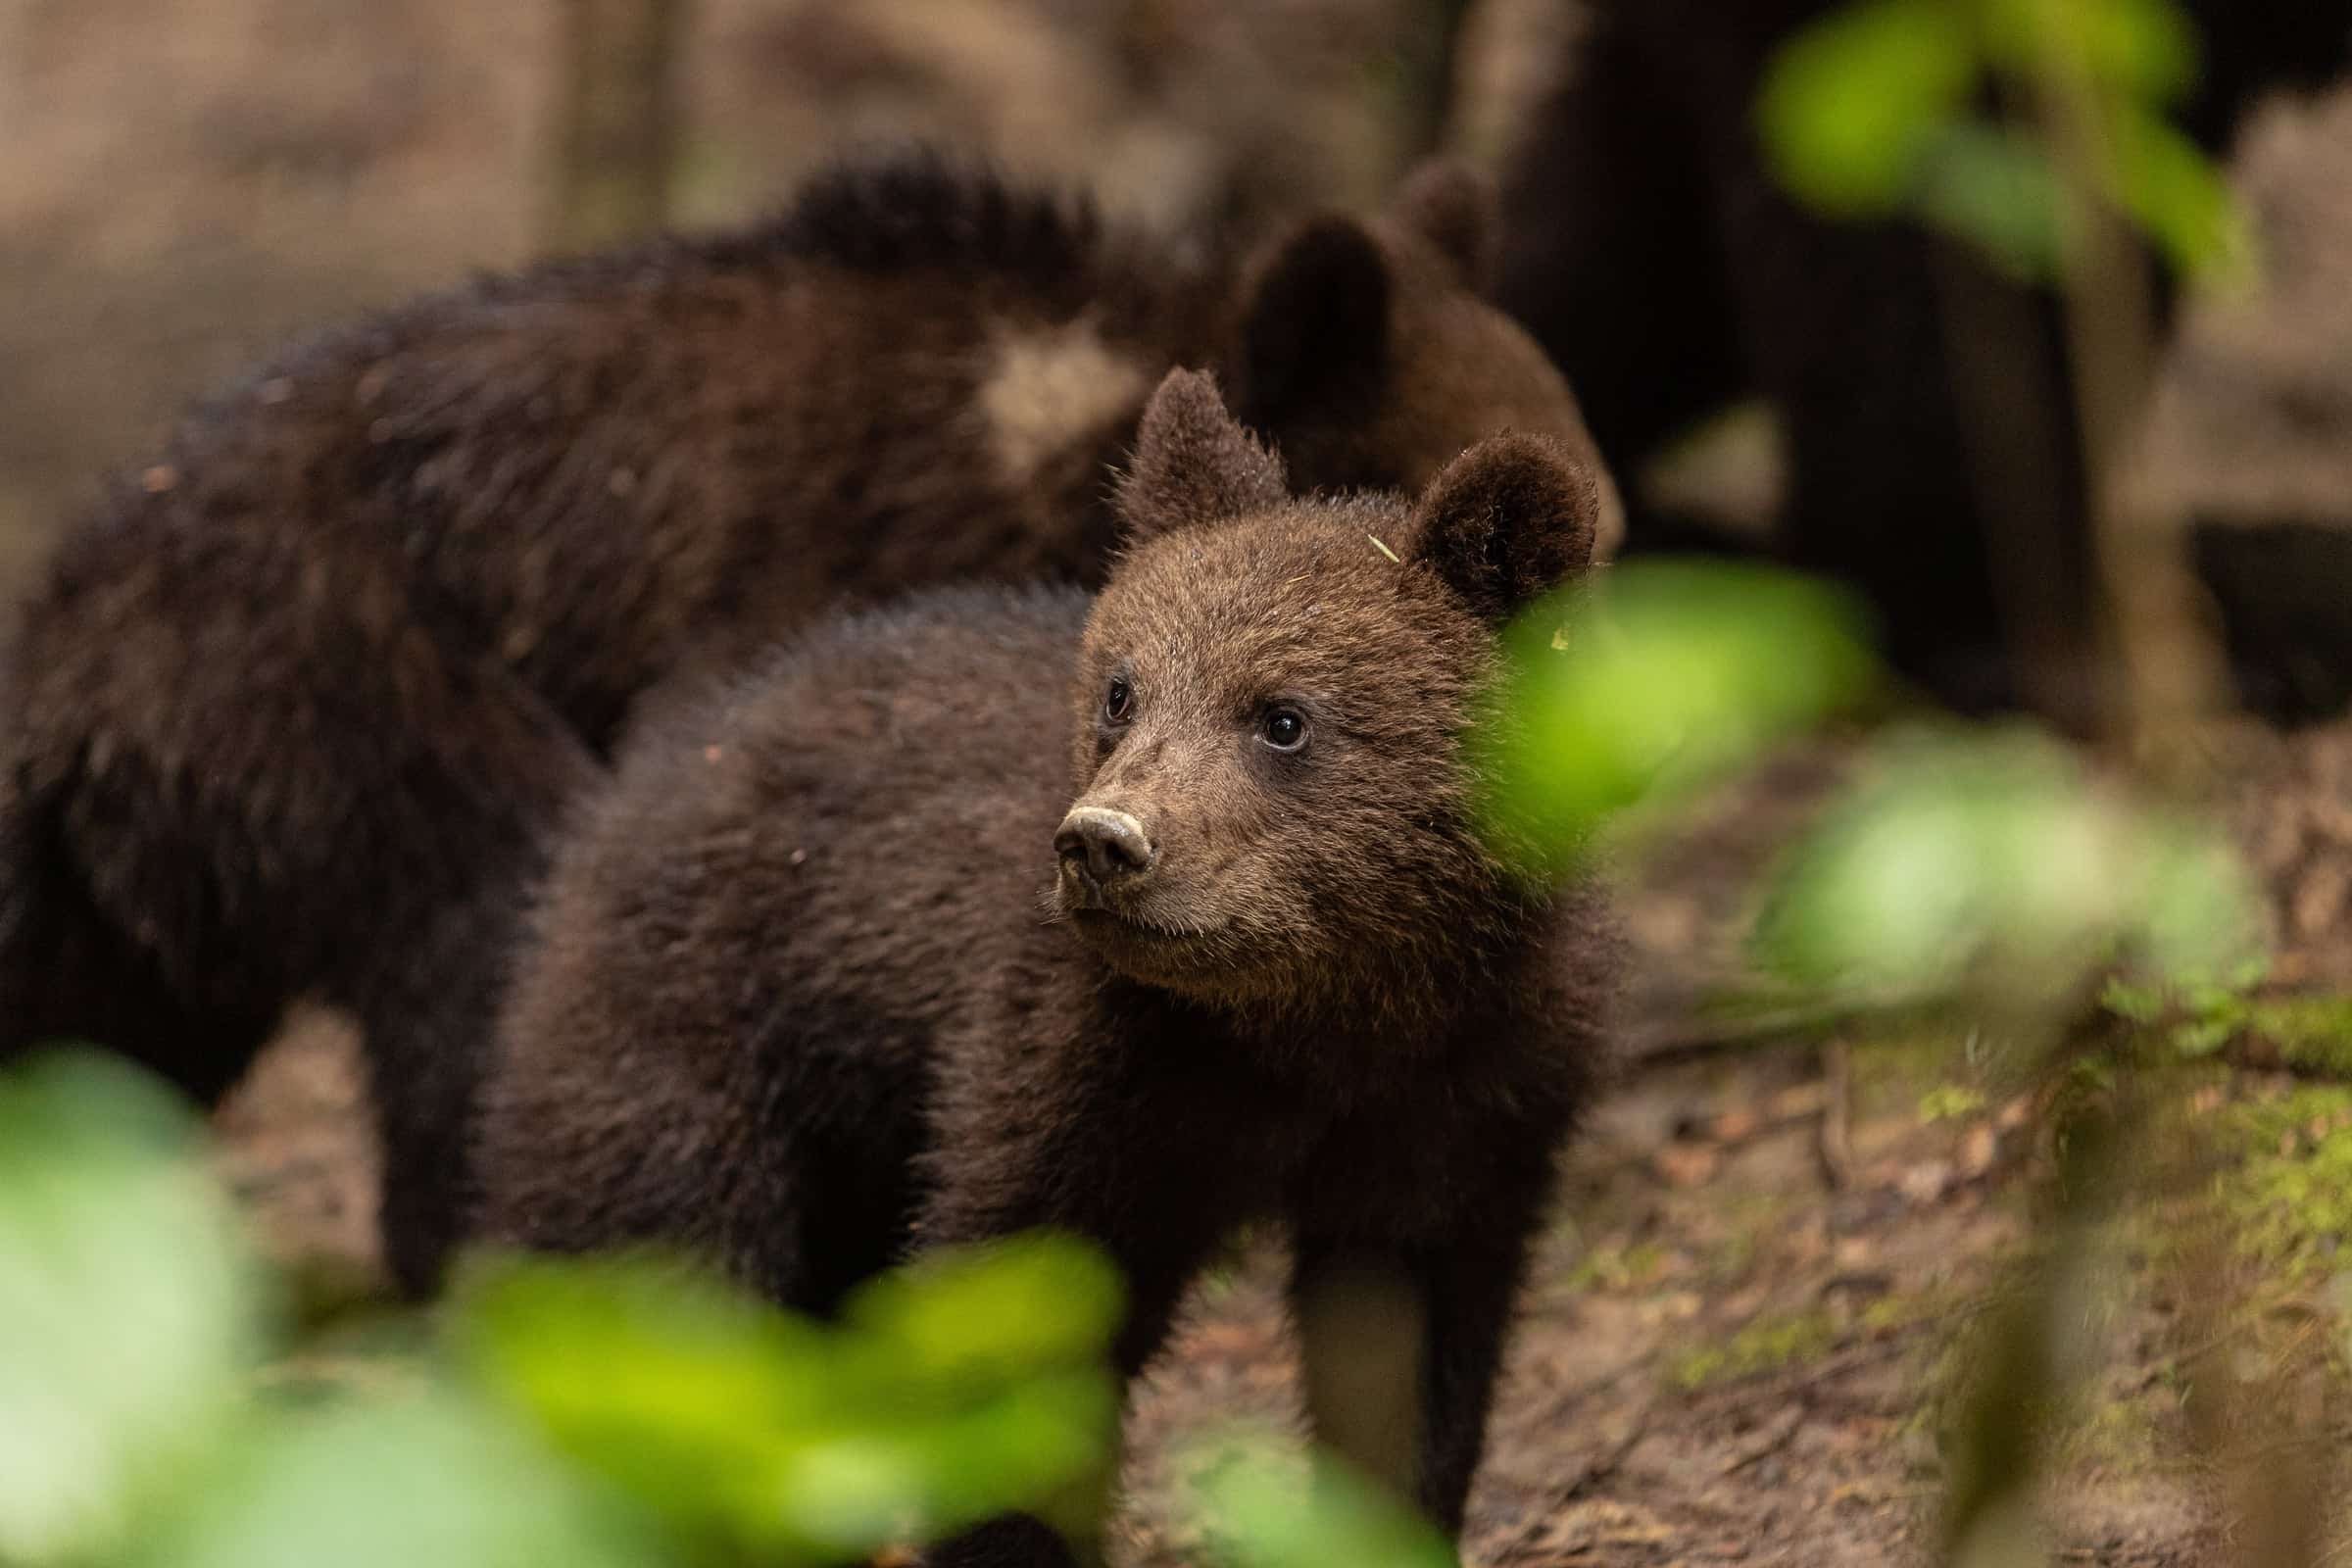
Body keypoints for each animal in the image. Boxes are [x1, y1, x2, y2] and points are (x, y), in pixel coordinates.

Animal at [0, 149, 1618, 1296]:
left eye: (1604, 540)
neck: (1029, 457)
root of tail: (72, 636)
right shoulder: (778, 597)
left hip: (153, 894)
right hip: (360, 707)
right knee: (481, 972)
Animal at [467, 368, 1620, 1564]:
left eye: (1284, 716)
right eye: (1123, 688)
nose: (1105, 842)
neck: (1317, 1020)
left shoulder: (1465, 1101)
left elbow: (1411, 1362)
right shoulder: (1085, 1072)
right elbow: (1017, 1340)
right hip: (694, 1033)